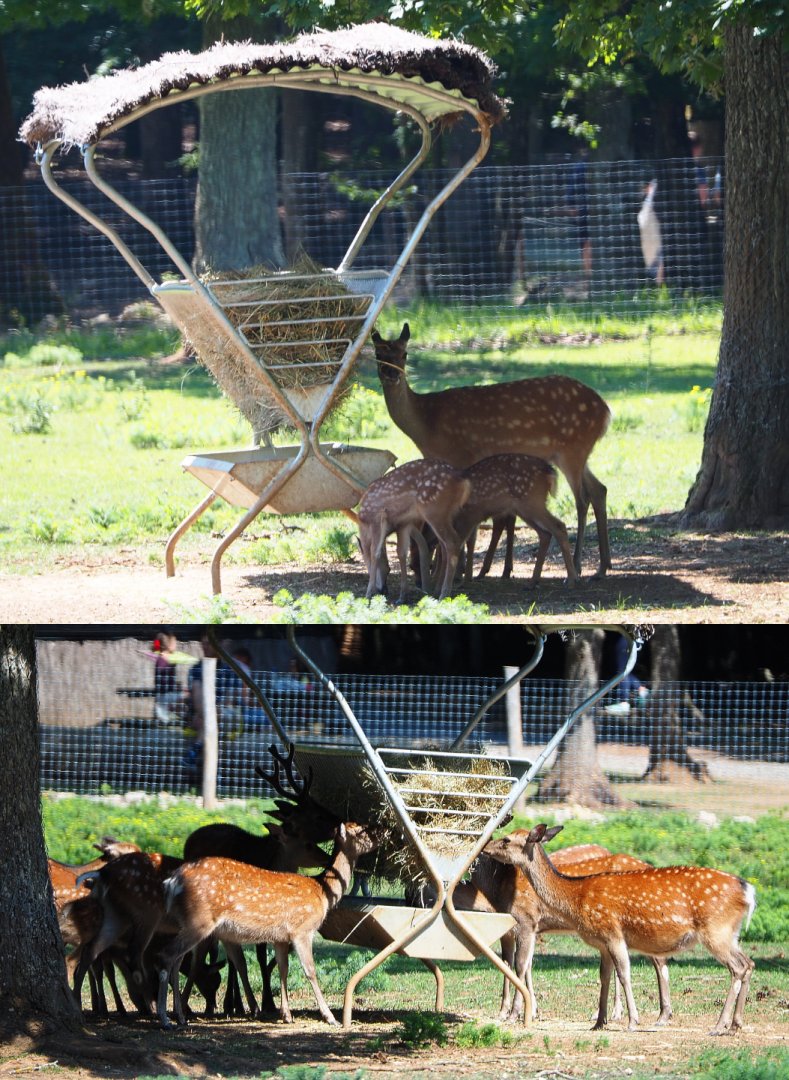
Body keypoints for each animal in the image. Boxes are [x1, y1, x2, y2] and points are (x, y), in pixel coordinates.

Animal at [157, 821, 380, 1029]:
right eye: (360, 830)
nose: (379, 836)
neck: (322, 892)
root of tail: (172, 882)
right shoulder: (302, 929)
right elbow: (310, 970)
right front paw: (330, 1017)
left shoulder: (280, 937)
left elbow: (283, 969)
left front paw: (286, 1015)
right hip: (199, 921)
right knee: (167, 955)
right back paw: (166, 1019)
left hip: (189, 924)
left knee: (177, 961)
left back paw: (180, 1017)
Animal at [357, 458, 471, 601]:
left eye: (388, 569)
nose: (382, 589)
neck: (363, 522)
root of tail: (462, 481)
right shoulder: (403, 523)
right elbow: (401, 552)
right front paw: (402, 596)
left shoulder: (377, 517)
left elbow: (375, 553)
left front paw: (368, 593)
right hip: (447, 514)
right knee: (446, 547)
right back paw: (438, 590)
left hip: (433, 509)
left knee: (452, 542)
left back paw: (444, 594)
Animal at [372, 323, 611, 579]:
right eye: (379, 353)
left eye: (404, 354)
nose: (392, 375)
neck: (426, 424)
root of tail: (605, 411)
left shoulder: (461, 456)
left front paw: (457, 572)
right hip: (574, 452)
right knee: (599, 490)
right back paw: (602, 566)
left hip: (572, 448)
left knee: (582, 499)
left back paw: (577, 566)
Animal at [484, 824, 756, 1035]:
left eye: (507, 839)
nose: (486, 846)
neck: (575, 898)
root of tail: (749, 891)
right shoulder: (601, 942)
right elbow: (604, 976)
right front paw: (599, 1022)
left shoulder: (612, 933)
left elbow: (624, 974)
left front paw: (632, 1021)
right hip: (730, 934)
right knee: (749, 963)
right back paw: (735, 1024)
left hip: (715, 931)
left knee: (738, 967)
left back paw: (719, 1025)